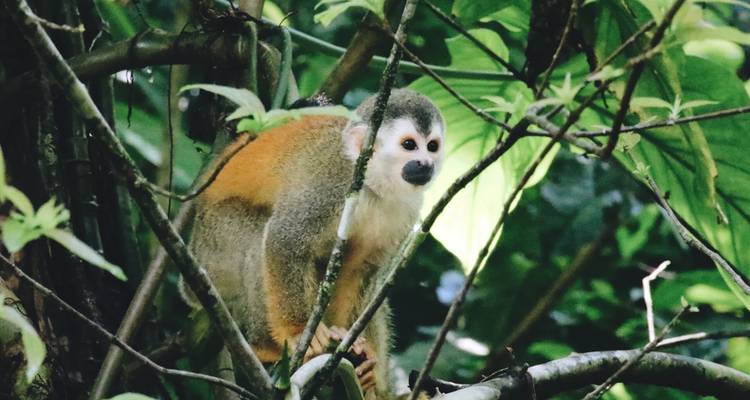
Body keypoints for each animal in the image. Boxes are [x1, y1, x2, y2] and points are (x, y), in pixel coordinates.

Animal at [181, 88, 445, 398]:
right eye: (409, 145)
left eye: (432, 146)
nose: (426, 164)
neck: (373, 185)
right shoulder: (332, 184)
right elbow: (284, 239)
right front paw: (297, 332)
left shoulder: (406, 212)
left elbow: (359, 271)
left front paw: (357, 351)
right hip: (214, 247)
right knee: (259, 235)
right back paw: (265, 345)